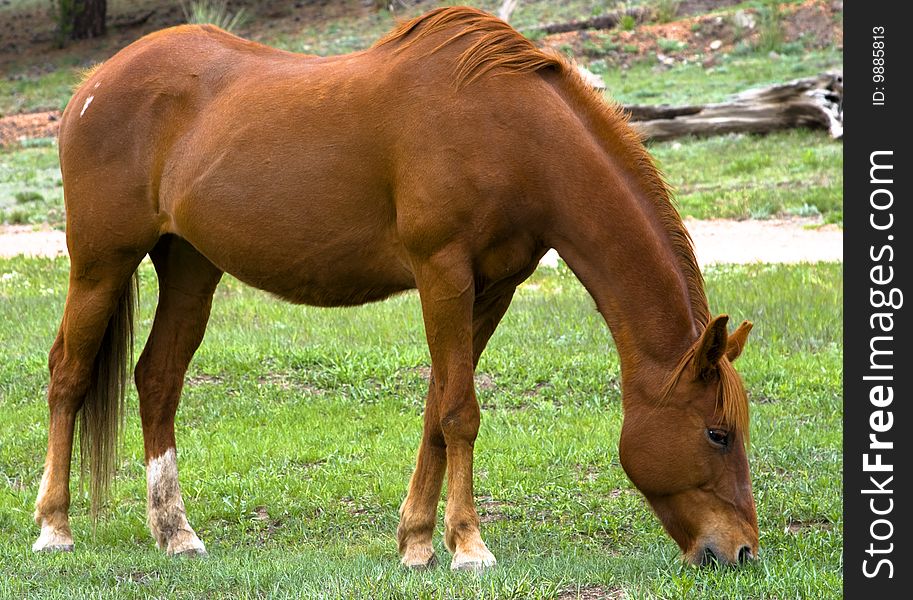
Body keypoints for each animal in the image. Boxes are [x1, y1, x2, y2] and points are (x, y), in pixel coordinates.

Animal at [33, 8, 756, 572]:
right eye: (717, 433)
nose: (742, 551)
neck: (511, 131)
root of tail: (93, 82)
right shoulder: (443, 274)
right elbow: (460, 410)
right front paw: (469, 547)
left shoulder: (492, 289)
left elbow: (439, 407)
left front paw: (417, 541)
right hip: (99, 264)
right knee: (68, 374)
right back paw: (54, 528)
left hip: (189, 267)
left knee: (157, 379)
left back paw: (174, 532)